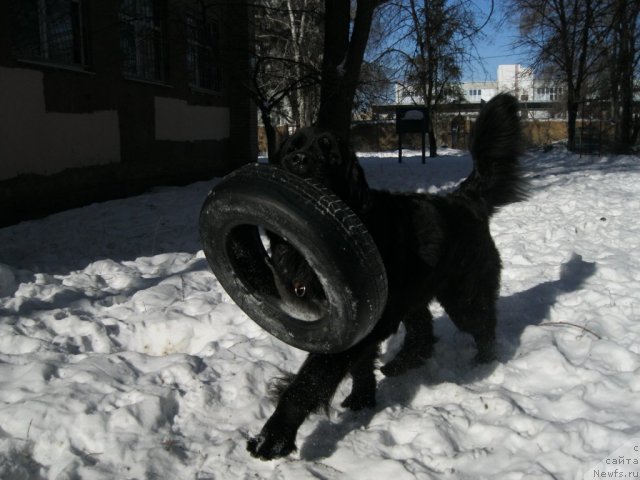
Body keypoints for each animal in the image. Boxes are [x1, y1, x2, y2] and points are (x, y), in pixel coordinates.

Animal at [245, 92, 524, 460]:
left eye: (329, 152)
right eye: (292, 147)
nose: (297, 161)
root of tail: (465, 198)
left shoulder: (353, 325)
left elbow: (310, 380)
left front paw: (274, 436)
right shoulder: (360, 318)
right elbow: (361, 363)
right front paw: (363, 398)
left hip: (463, 296)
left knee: (482, 325)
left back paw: (483, 362)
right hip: (412, 291)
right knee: (422, 330)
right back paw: (403, 363)